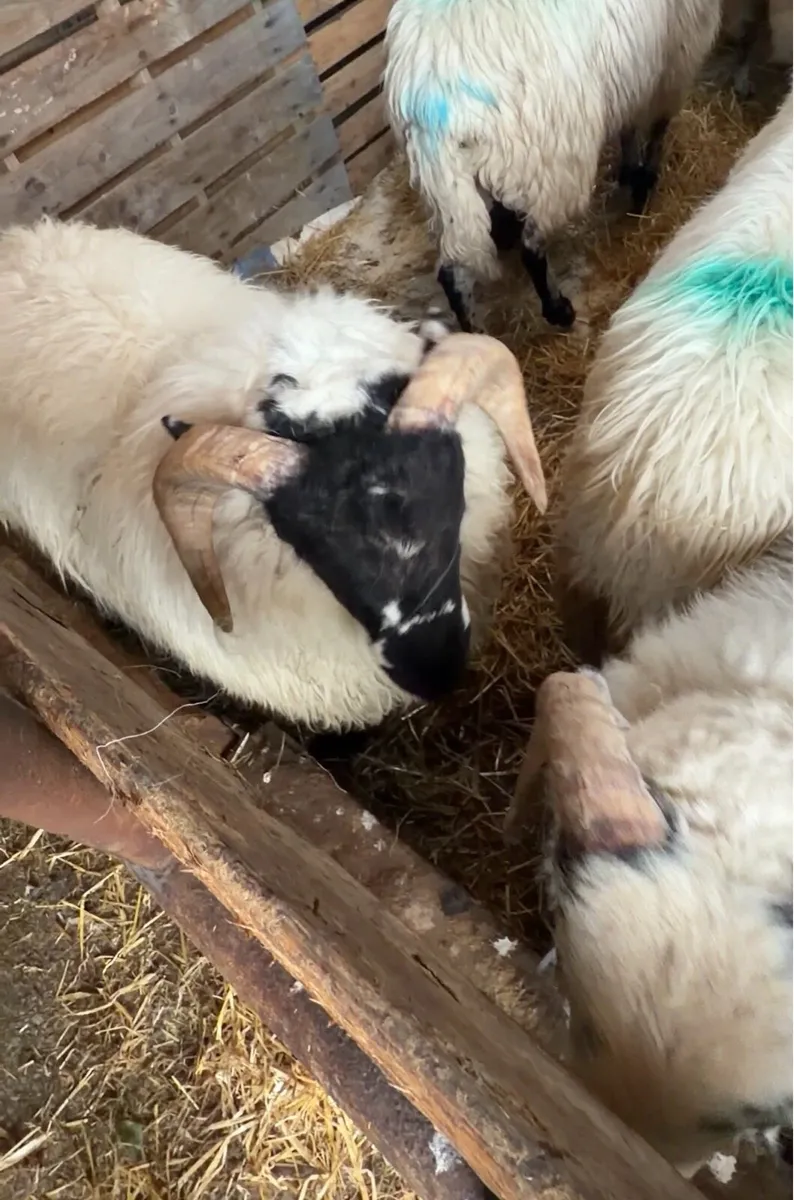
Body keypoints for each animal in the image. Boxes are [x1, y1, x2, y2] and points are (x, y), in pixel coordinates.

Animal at [383, 0, 722, 333]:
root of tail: (432, 92)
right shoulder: (675, 57)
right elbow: (656, 128)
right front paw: (643, 183)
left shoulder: (635, 76)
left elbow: (629, 129)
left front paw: (629, 173)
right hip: (551, 164)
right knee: (531, 249)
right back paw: (558, 310)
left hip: (454, 183)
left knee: (455, 272)